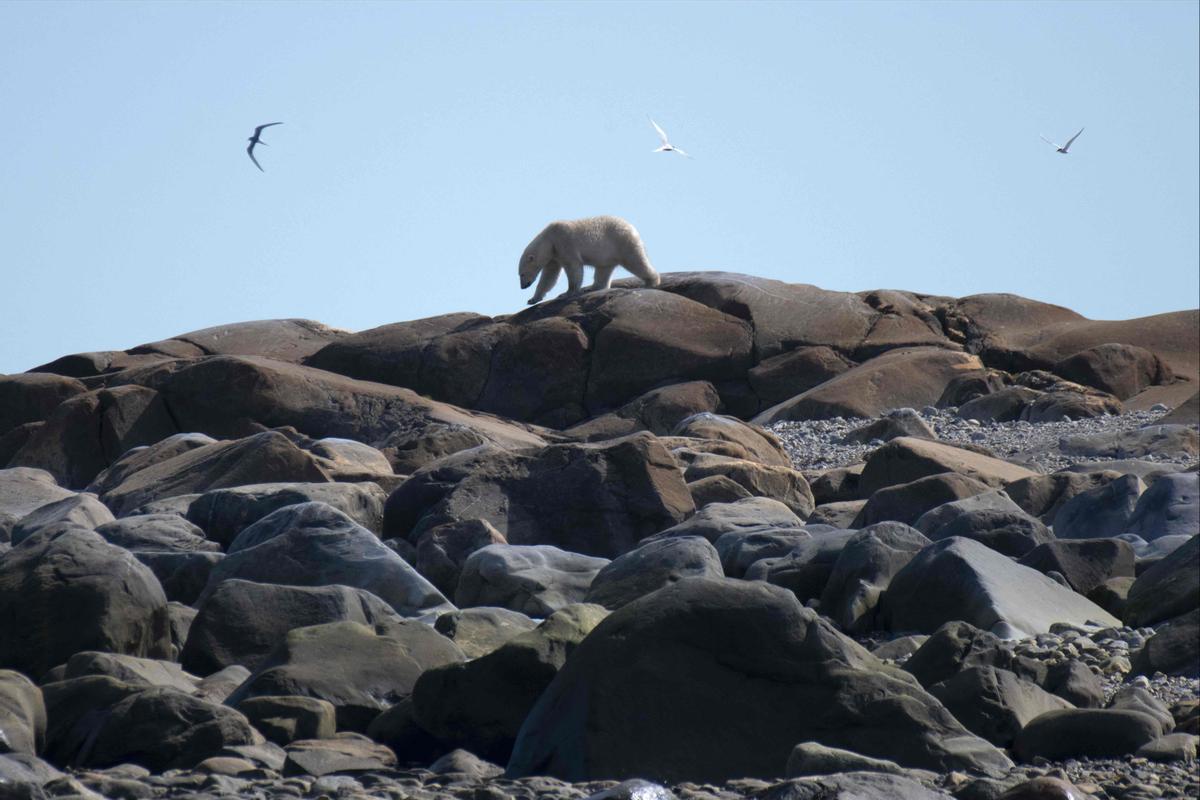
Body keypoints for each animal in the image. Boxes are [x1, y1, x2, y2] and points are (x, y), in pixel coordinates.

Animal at [520, 214, 662, 304]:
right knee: (603, 270)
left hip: (623, 242)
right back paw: (592, 287)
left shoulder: (564, 241)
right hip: (608, 253)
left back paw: (651, 281)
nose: (523, 286)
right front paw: (533, 299)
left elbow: (573, 267)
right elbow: (549, 276)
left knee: (636, 261)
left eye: (521, 274)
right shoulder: (554, 255)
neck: (549, 238)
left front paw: (567, 293)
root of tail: (633, 228)